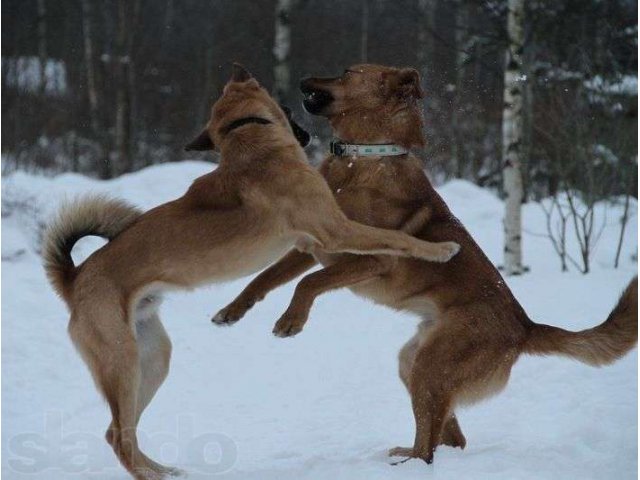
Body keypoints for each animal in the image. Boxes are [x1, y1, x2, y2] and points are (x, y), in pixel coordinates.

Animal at [42, 63, 460, 480]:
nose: (301, 98)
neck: (248, 139)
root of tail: (74, 279)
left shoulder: (314, 240)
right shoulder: (335, 229)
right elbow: (396, 238)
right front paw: (440, 250)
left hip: (153, 358)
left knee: (121, 429)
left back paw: (162, 469)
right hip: (122, 361)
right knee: (118, 436)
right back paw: (150, 474)